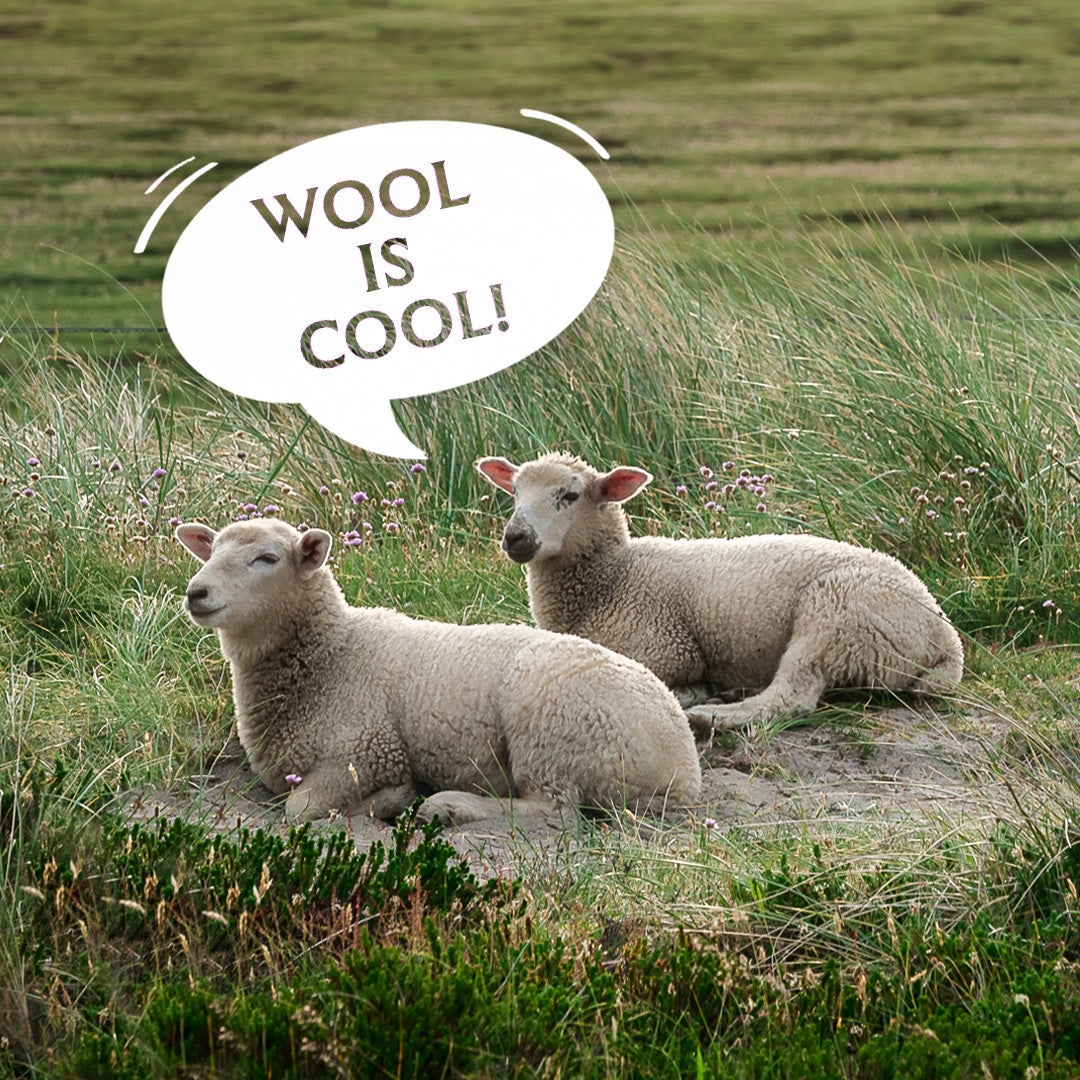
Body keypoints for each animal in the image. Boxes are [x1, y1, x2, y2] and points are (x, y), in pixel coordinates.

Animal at [174, 518, 701, 824]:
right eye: (210, 552)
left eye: (267, 558)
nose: (196, 592)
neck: (332, 656)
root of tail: (684, 770)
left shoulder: (368, 750)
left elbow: (298, 807)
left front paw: (394, 799)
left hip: (550, 721)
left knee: (553, 810)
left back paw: (449, 806)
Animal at [476, 452, 964, 730]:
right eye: (514, 491)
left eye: (570, 495)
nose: (516, 537)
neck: (614, 579)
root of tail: (945, 638)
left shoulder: (662, 646)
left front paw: (692, 692)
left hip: (838, 614)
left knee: (792, 697)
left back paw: (714, 713)